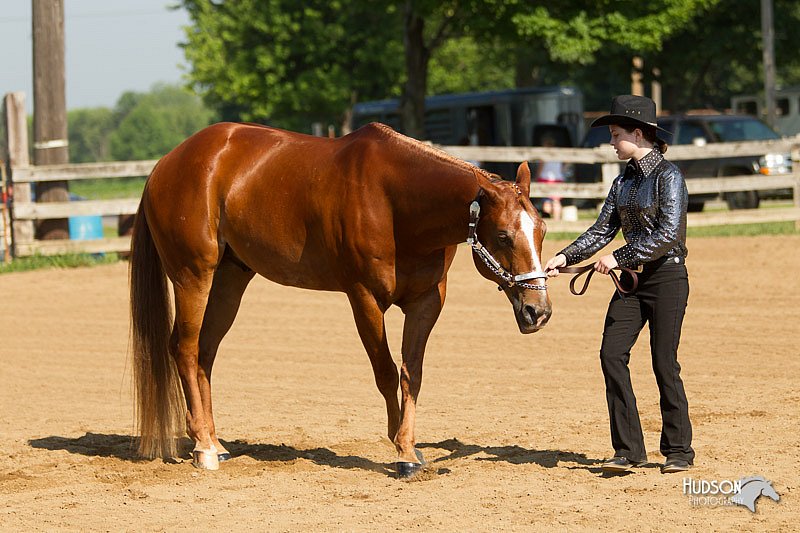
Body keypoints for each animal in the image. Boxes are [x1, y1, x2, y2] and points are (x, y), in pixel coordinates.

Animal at [128, 122, 552, 476]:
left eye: (542, 229)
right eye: (502, 236)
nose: (539, 311)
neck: (396, 201)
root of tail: (166, 164)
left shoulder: (427, 302)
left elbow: (410, 373)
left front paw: (411, 448)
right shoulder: (363, 298)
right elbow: (385, 372)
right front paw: (401, 451)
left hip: (231, 277)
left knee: (205, 352)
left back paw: (216, 442)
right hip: (193, 276)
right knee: (184, 348)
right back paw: (203, 448)